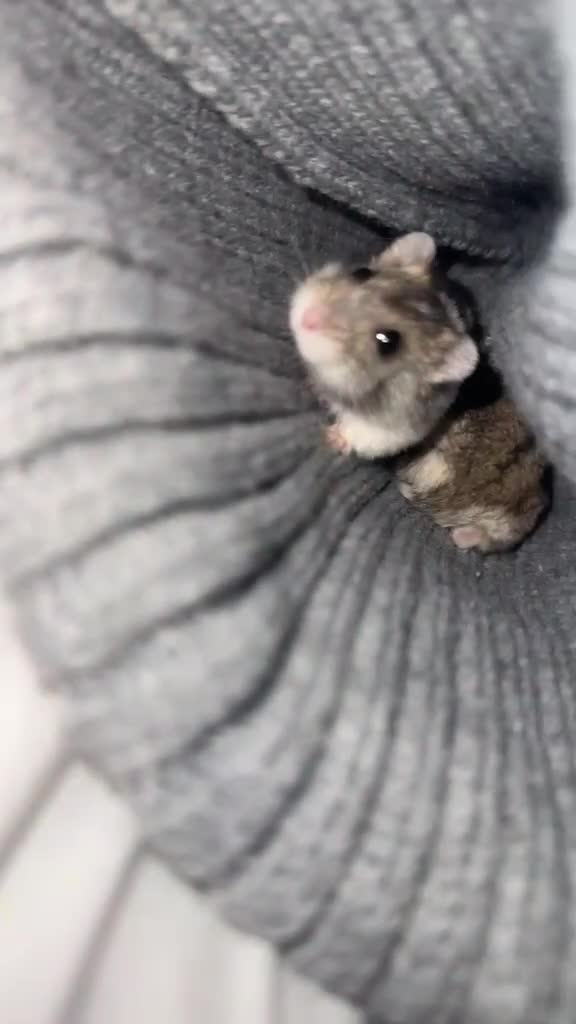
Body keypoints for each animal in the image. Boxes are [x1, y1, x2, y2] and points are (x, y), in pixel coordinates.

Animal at [289, 232, 479, 459]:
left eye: (387, 342)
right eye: (361, 273)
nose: (306, 319)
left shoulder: (393, 431)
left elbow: (361, 434)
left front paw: (332, 437)